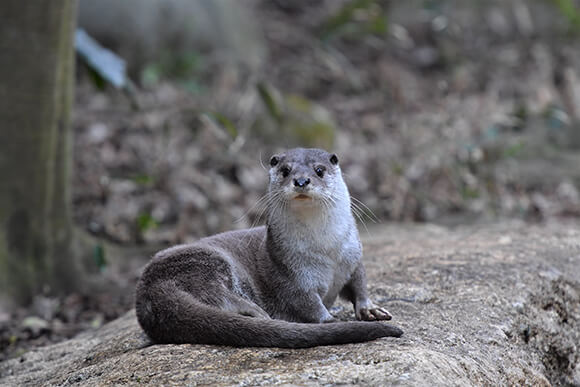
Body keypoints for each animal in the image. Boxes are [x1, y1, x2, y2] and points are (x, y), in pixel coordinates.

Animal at [135, 149, 404, 348]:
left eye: (319, 170)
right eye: (285, 170)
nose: (301, 181)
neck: (327, 251)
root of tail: (148, 291)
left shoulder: (353, 256)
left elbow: (360, 285)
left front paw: (370, 310)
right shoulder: (291, 274)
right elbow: (307, 303)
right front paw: (329, 320)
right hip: (205, 262)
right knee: (216, 294)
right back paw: (256, 312)